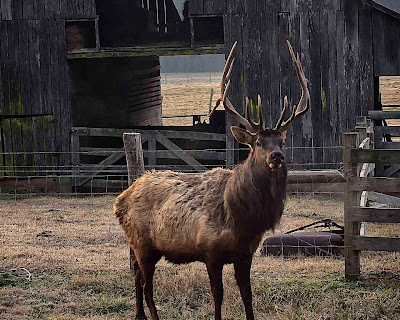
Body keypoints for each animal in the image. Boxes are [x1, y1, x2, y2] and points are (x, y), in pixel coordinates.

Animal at [114, 40, 310, 320]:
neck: (243, 218)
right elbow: (218, 295)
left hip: (143, 246)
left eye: (281, 141)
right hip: (142, 242)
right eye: (258, 143)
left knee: (137, 275)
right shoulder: (210, 250)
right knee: (146, 283)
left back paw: (139, 315)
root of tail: (120, 200)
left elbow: (247, 295)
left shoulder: (245, 254)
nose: (277, 156)